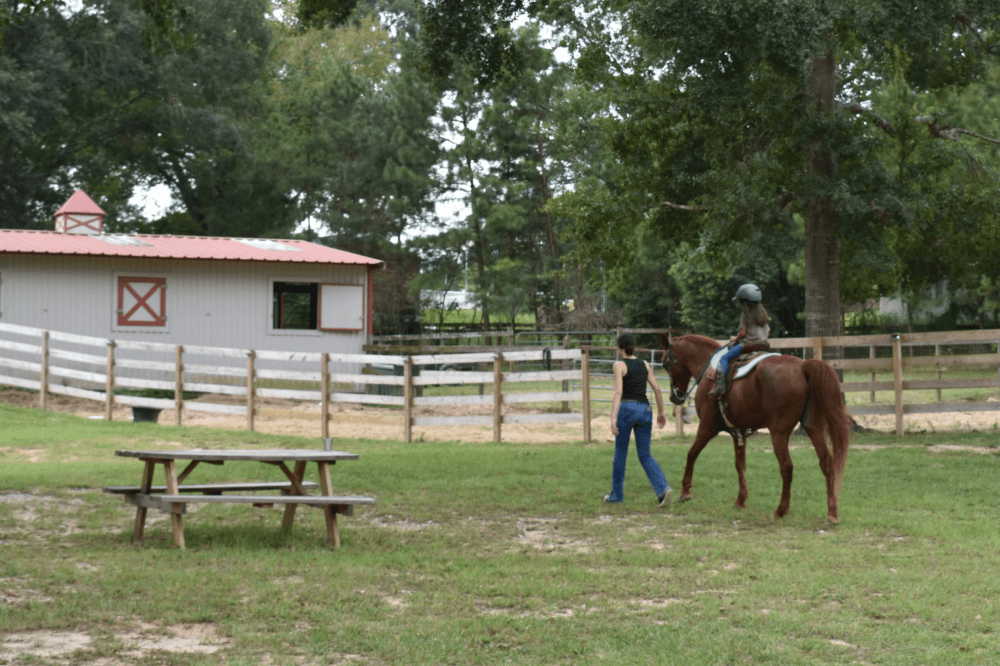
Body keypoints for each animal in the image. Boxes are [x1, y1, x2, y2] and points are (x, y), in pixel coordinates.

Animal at [659, 333, 850, 523]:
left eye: (666, 364)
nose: (674, 397)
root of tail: (802, 366)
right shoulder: (739, 431)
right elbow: (740, 464)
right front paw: (741, 500)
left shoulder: (707, 426)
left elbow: (692, 453)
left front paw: (685, 492)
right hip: (814, 428)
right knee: (826, 463)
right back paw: (832, 513)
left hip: (779, 433)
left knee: (787, 467)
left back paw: (781, 510)